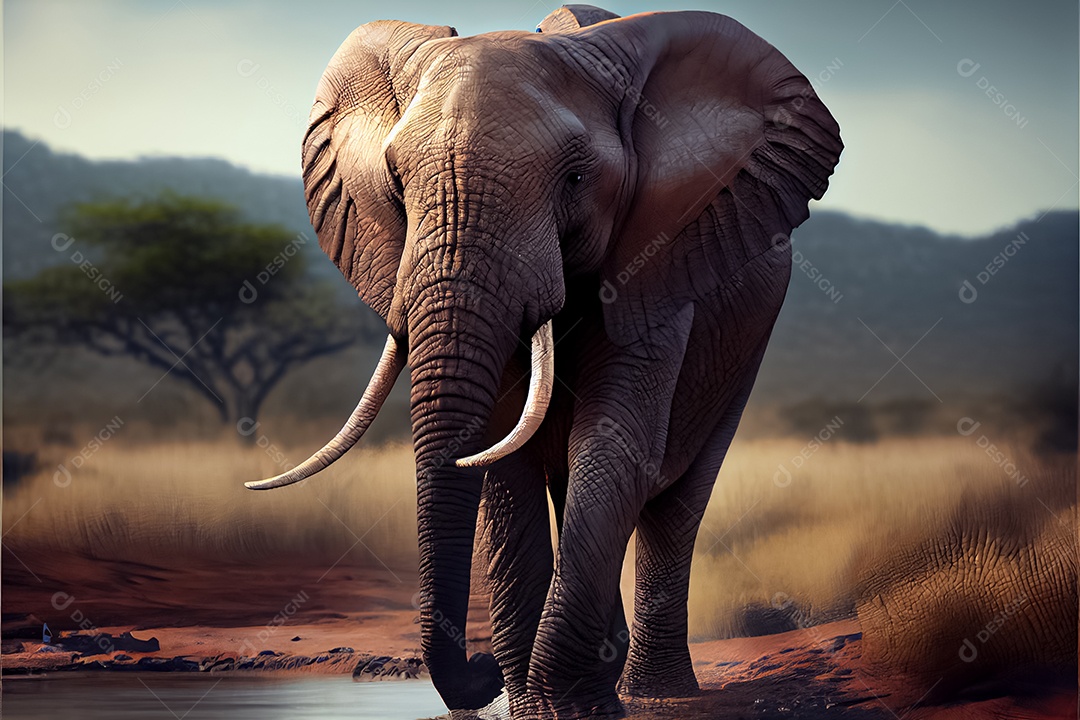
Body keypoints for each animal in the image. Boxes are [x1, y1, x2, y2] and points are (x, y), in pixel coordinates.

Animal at [246, 5, 842, 718]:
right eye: (394, 182)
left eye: (576, 179)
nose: (478, 673)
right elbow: (507, 458)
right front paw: (535, 709)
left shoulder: (654, 260)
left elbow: (614, 446)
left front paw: (573, 709)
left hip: (746, 342)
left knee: (677, 500)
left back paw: (658, 694)